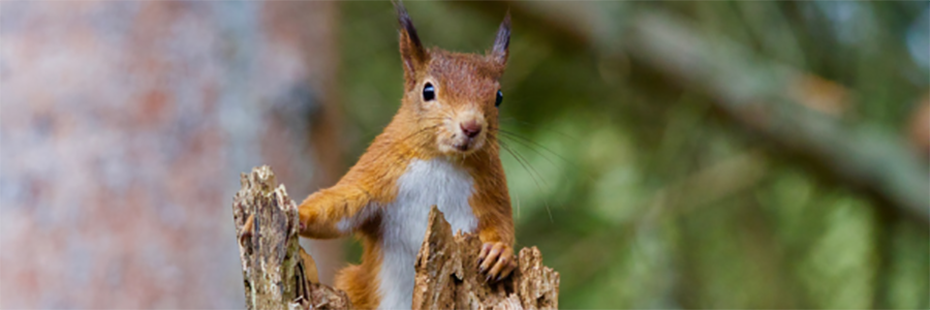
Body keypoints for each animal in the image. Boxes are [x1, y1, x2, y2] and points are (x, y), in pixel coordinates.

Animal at [298, 3, 516, 310]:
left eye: (498, 96)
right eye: (428, 90)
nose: (471, 127)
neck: (442, 161)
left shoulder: (490, 188)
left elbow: (501, 221)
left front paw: (500, 251)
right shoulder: (379, 171)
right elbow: (341, 207)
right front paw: (298, 213)